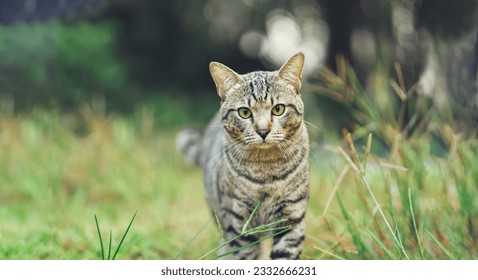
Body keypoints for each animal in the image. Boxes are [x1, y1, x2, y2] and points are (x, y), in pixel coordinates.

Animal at [176, 53, 310, 260]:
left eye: (278, 109)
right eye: (244, 112)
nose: (263, 131)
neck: (266, 169)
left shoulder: (291, 216)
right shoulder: (239, 221)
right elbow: (244, 255)